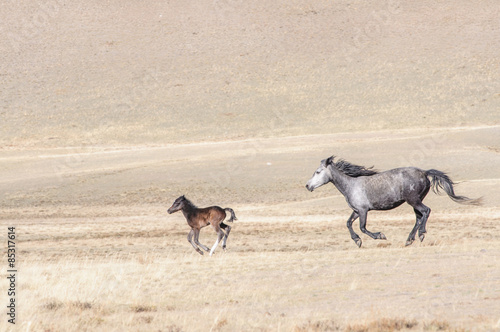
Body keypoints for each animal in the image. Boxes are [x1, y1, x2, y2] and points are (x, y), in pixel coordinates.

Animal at [304, 157, 480, 248]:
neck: (351, 185)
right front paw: (357, 241)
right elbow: (348, 224)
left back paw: (421, 234)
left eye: (318, 172)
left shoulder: (363, 210)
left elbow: (362, 227)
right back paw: (409, 239)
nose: (307, 186)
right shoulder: (356, 211)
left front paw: (379, 236)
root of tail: (424, 172)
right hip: (415, 201)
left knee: (426, 212)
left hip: (413, 200)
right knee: (419, 217)